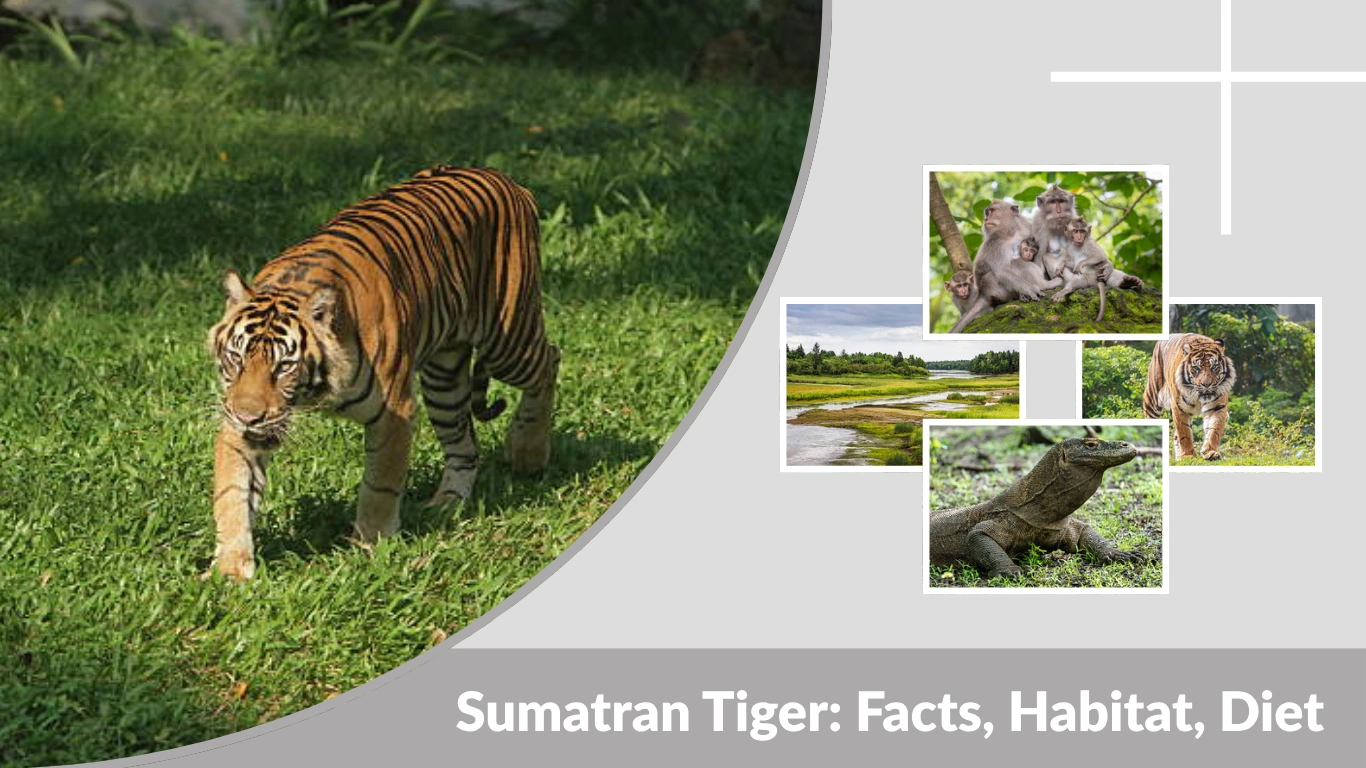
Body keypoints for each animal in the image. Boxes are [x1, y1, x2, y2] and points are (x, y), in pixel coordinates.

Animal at [207, 166, 560, 580]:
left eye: (284, 366)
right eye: (237, 358)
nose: (249, 416)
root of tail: (507, 180)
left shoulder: (395, 413)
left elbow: (380, 486)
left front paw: (368, 550)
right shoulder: (239, 422)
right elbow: (232, 493)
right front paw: (230, 569)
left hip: (507, 339)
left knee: (550, 360)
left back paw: (528, 451)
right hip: (444, 381)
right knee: (465, 447)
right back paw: (445, 506)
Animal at [1142, 333, 1236, 461]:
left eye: (1214, 367)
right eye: (1196, 368)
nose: (1206, 384)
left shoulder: (1217, 407)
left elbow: (1214, 430)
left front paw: (1210, 452)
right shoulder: (1179, 407)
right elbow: (1184, 433)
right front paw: (1188, 455)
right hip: (1152, 398)